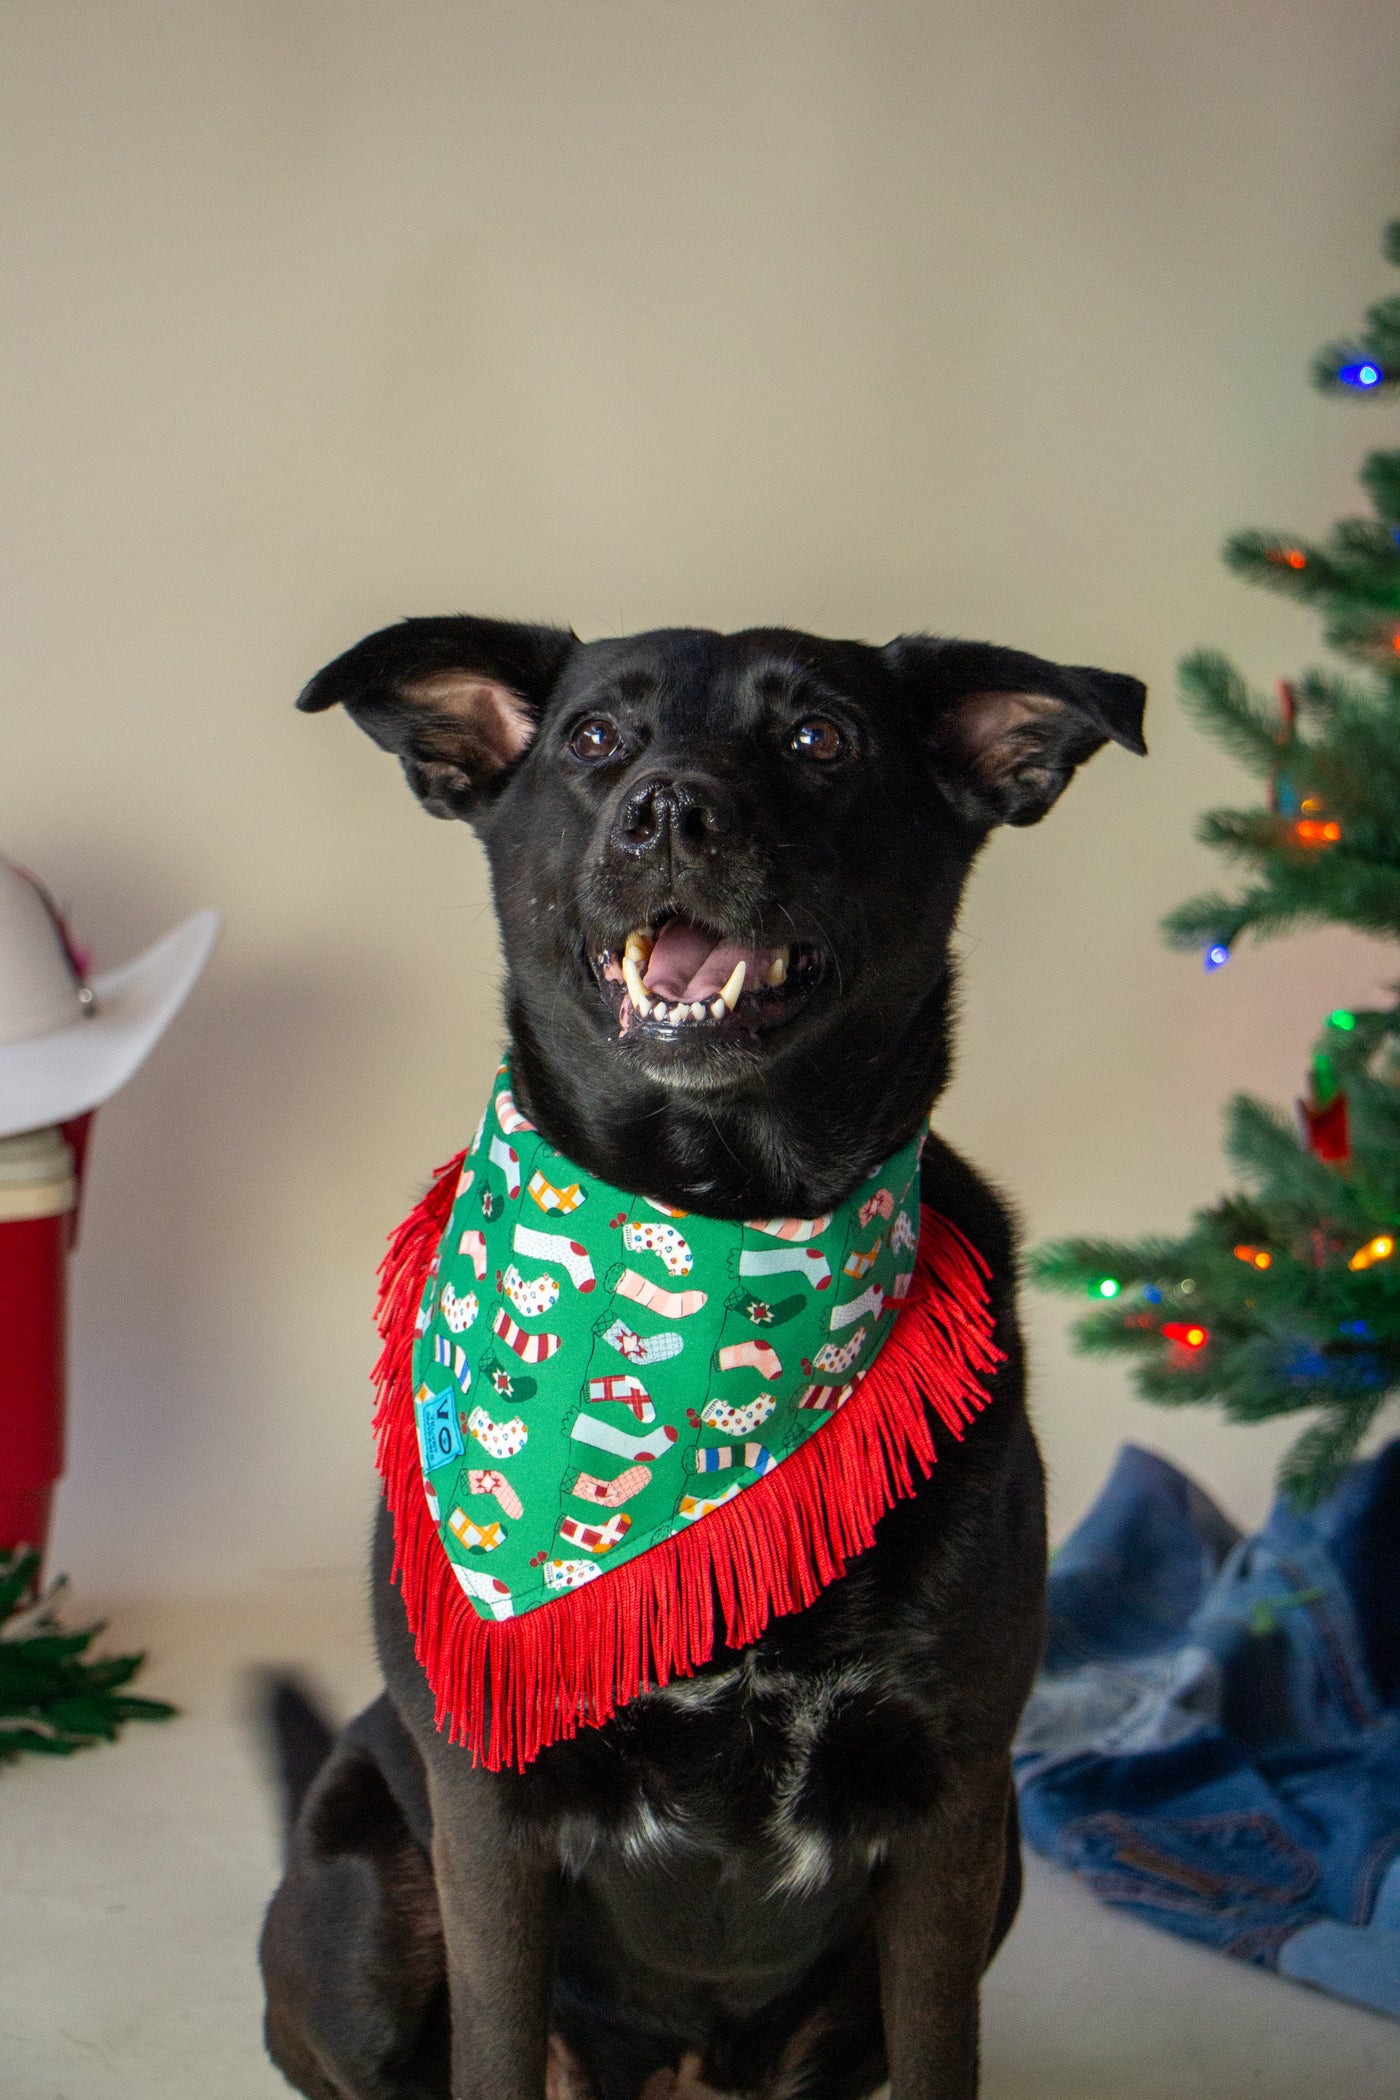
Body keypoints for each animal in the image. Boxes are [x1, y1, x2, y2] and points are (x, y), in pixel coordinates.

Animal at [260, 613, 1141, 2100]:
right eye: (592, 738)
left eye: (821, 737)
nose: (668, 809)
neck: (715, 1227)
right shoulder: (489, 1814)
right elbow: (494, 2049)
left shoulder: (954, 1804)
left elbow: (941, 2048)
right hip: (361, 1908)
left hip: (1000, 1863)